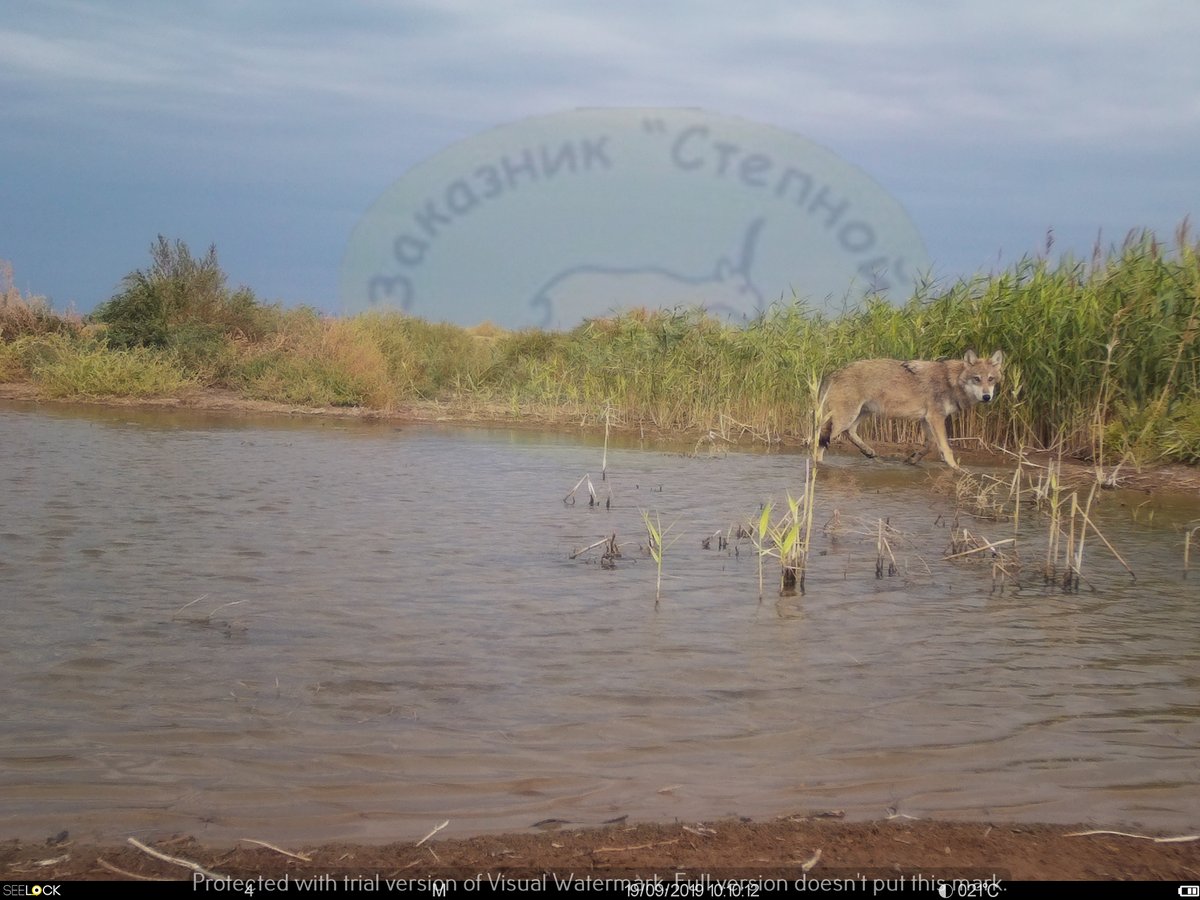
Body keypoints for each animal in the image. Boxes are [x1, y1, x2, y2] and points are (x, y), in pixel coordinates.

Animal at [816, 350, 1004, 471]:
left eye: (991, 379)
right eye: (977, 379)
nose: (987, 397)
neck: (951, 382)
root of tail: (831, 374)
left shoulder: (927, 420)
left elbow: (930, 445)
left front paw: (912, 459)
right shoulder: (936, 418)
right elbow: (946, 448)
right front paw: (957, 469)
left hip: (861, 414)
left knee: (849, 432)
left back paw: (869, 452)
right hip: (844, 419)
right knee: (817, 442)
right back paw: (818, 465)